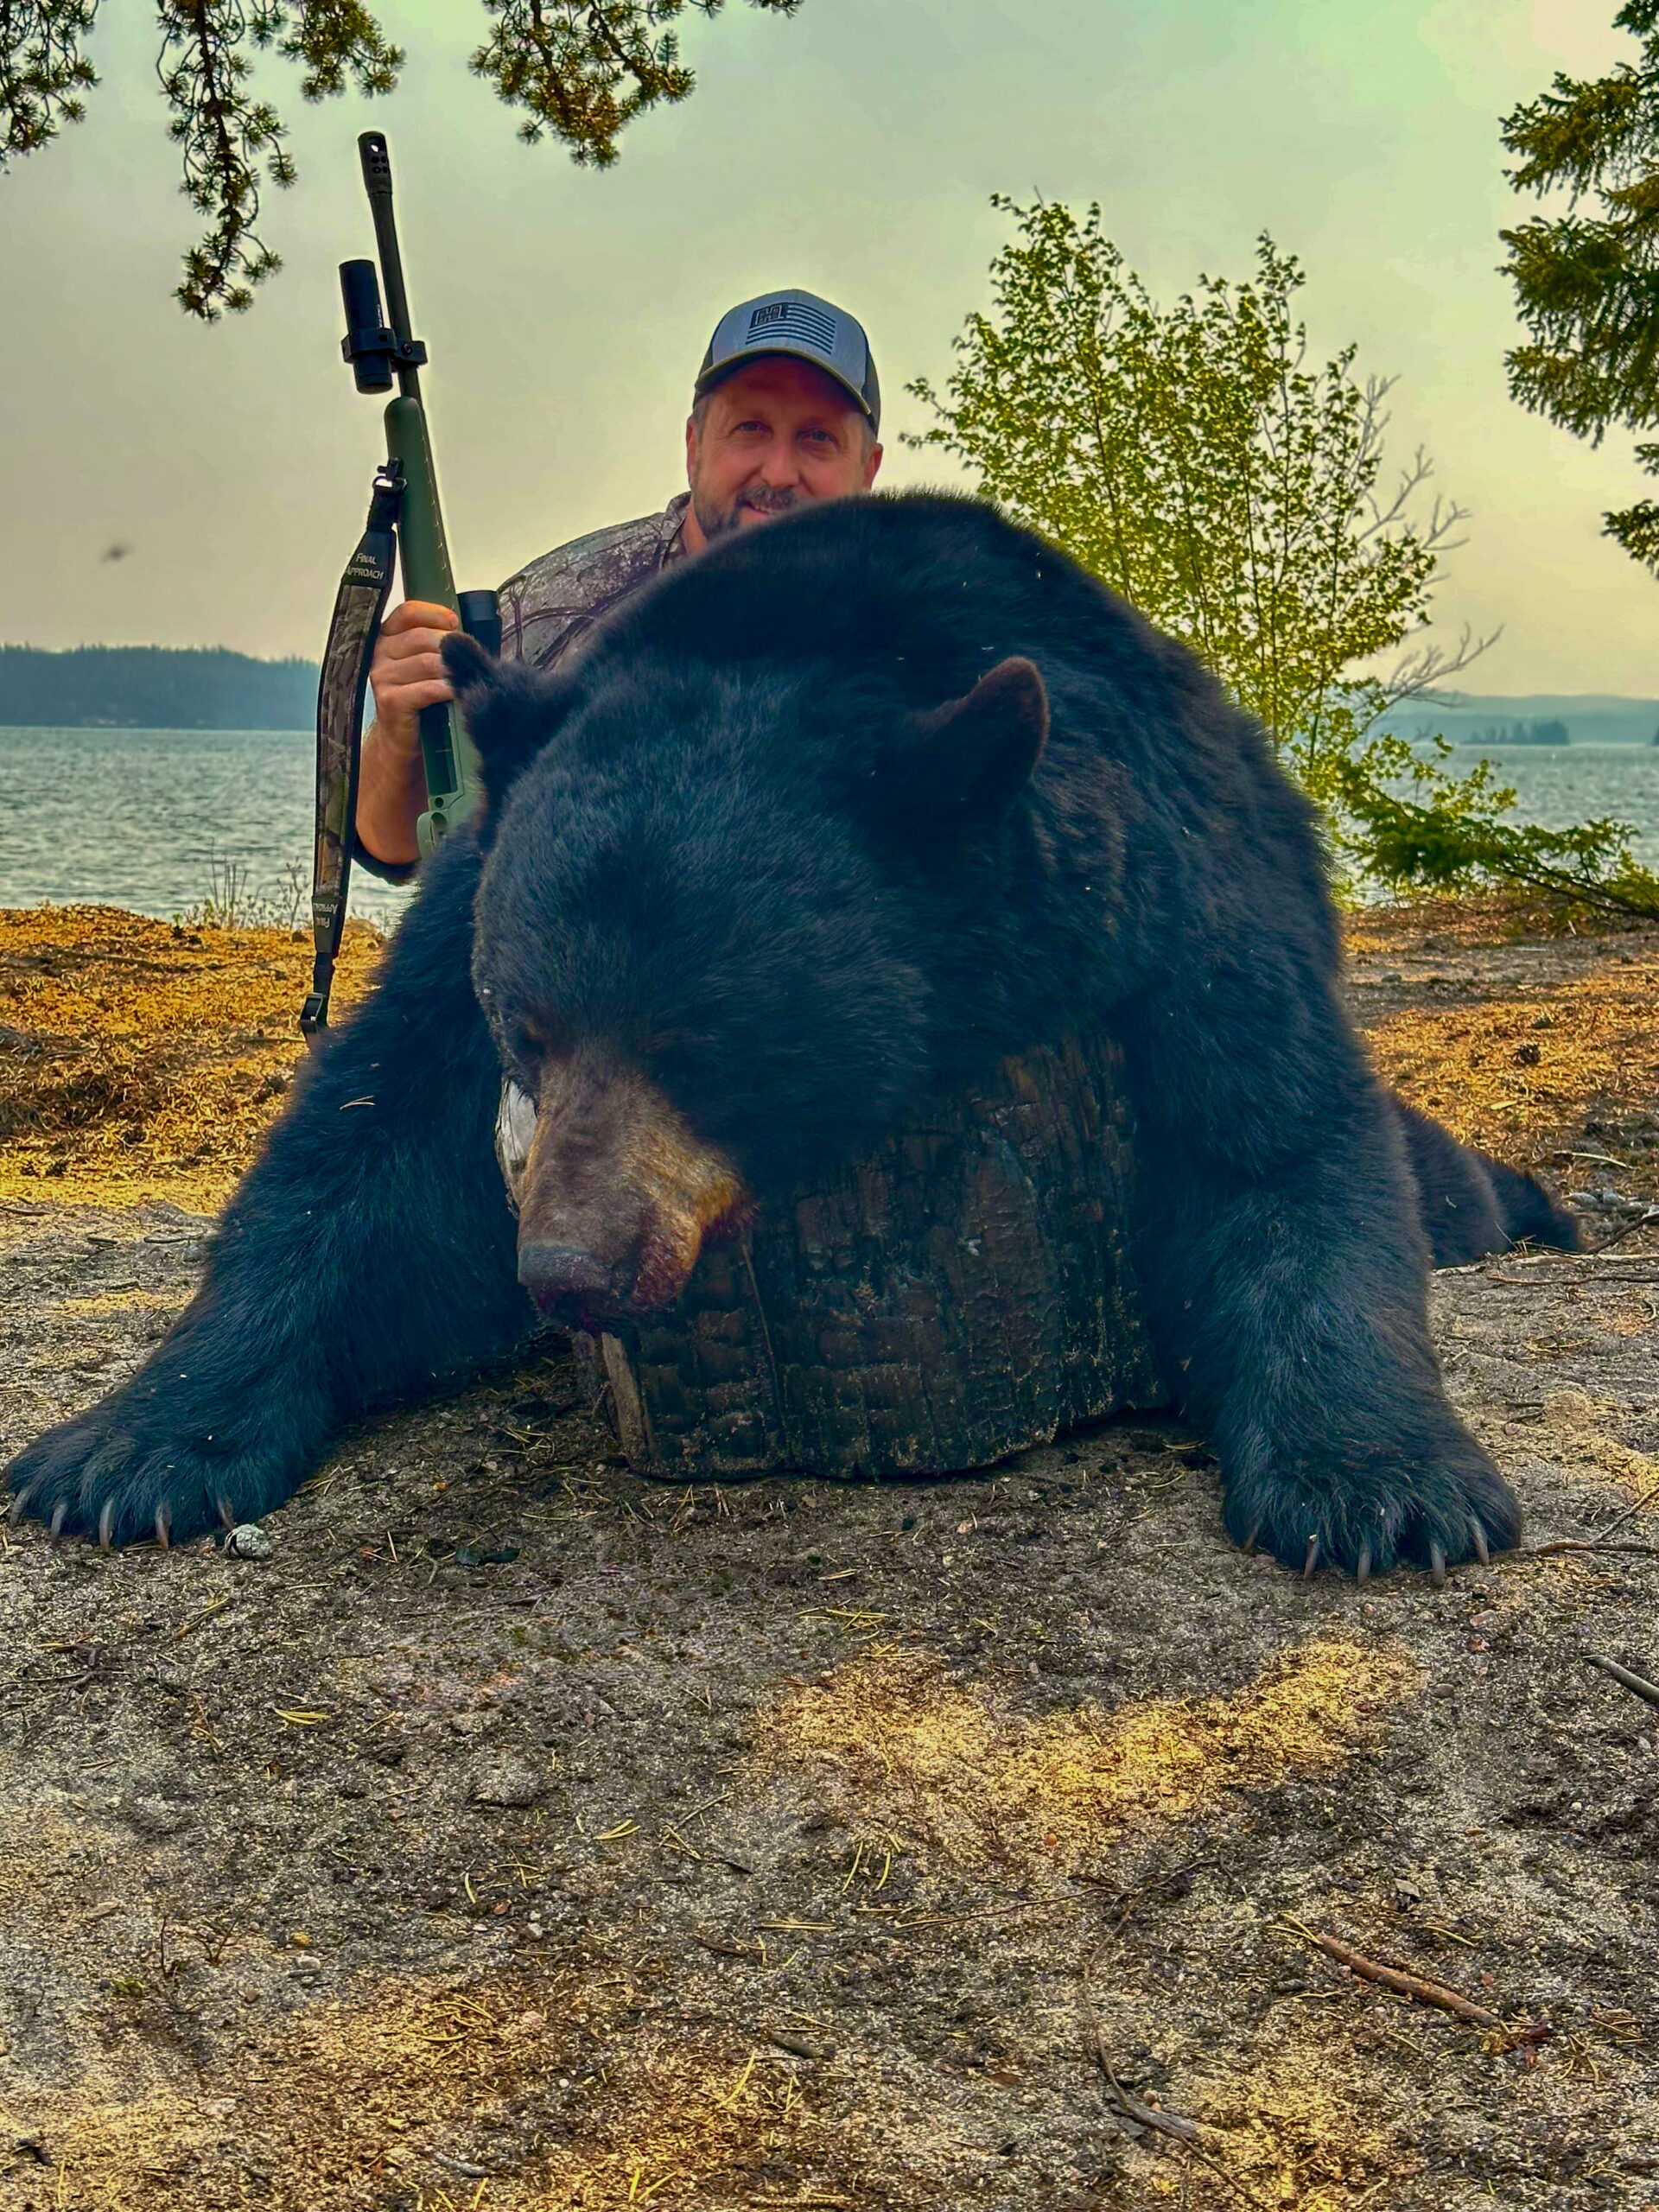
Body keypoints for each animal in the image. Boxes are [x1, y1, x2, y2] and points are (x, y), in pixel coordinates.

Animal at [6, 492, 1576, 1576]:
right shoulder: (474, 894)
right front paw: (123, 1453)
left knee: (1439, 1179)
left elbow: (1281, 1146)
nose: (566, 1268)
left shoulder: (1185, 882)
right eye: (531, 1028)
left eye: (709, 1041)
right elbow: (368, 1153)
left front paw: (1383, 1489)